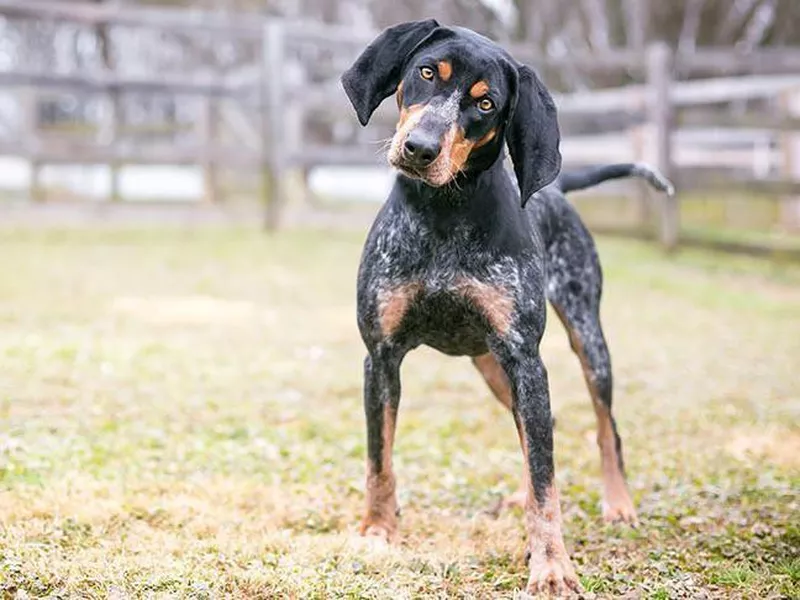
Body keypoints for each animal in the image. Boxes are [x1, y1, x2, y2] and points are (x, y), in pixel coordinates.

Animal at [340, 19, 672, 596]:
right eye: (426, 73)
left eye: (486, 103)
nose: (419, 148)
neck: (442, 213)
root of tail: (557, 189)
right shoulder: (380, 358)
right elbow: (379, 460)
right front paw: (378, 531)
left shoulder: (525, 359)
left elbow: (547, 483)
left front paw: (552, 565)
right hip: (491, 366)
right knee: (544, 428)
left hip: (585, 342)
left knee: (603, 428)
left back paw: (618, 503)